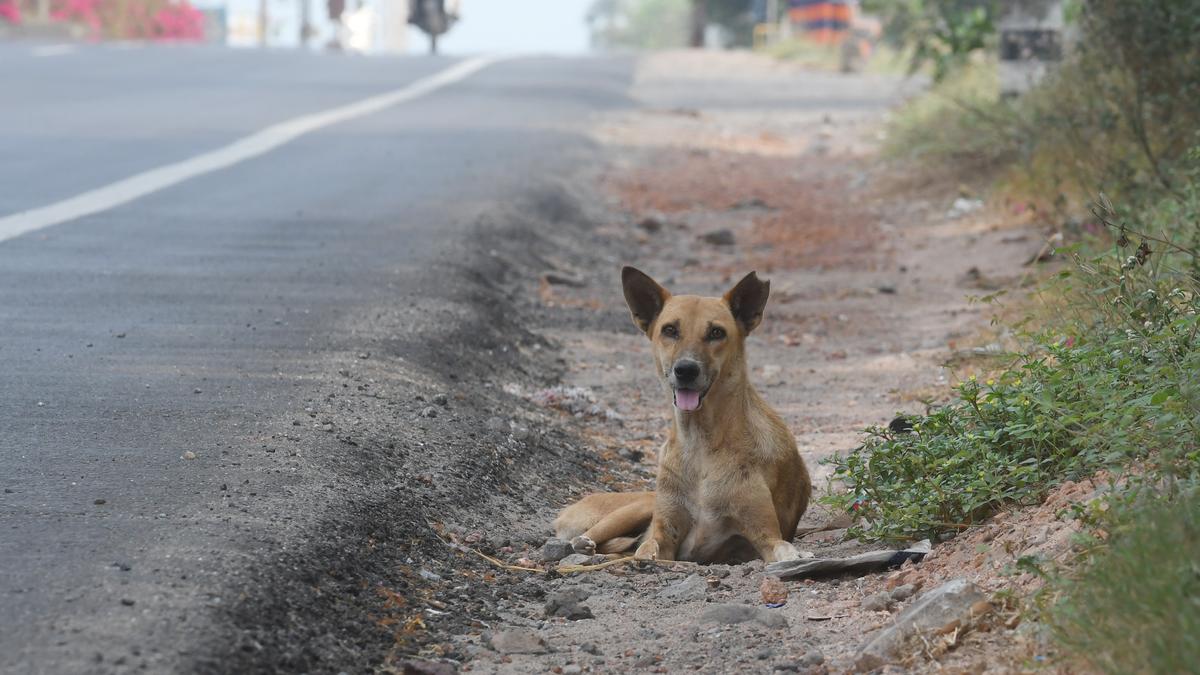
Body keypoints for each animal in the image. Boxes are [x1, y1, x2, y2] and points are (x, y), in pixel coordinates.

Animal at [556, 265, 811, 559]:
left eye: (716, 333)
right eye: (670, 330)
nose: (686, 370)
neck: (701, 442)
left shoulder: (765, 534)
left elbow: (782, 546)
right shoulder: (665, 535)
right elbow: (648, 547)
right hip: (640, 507)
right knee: (598, 537)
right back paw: (583, 544)